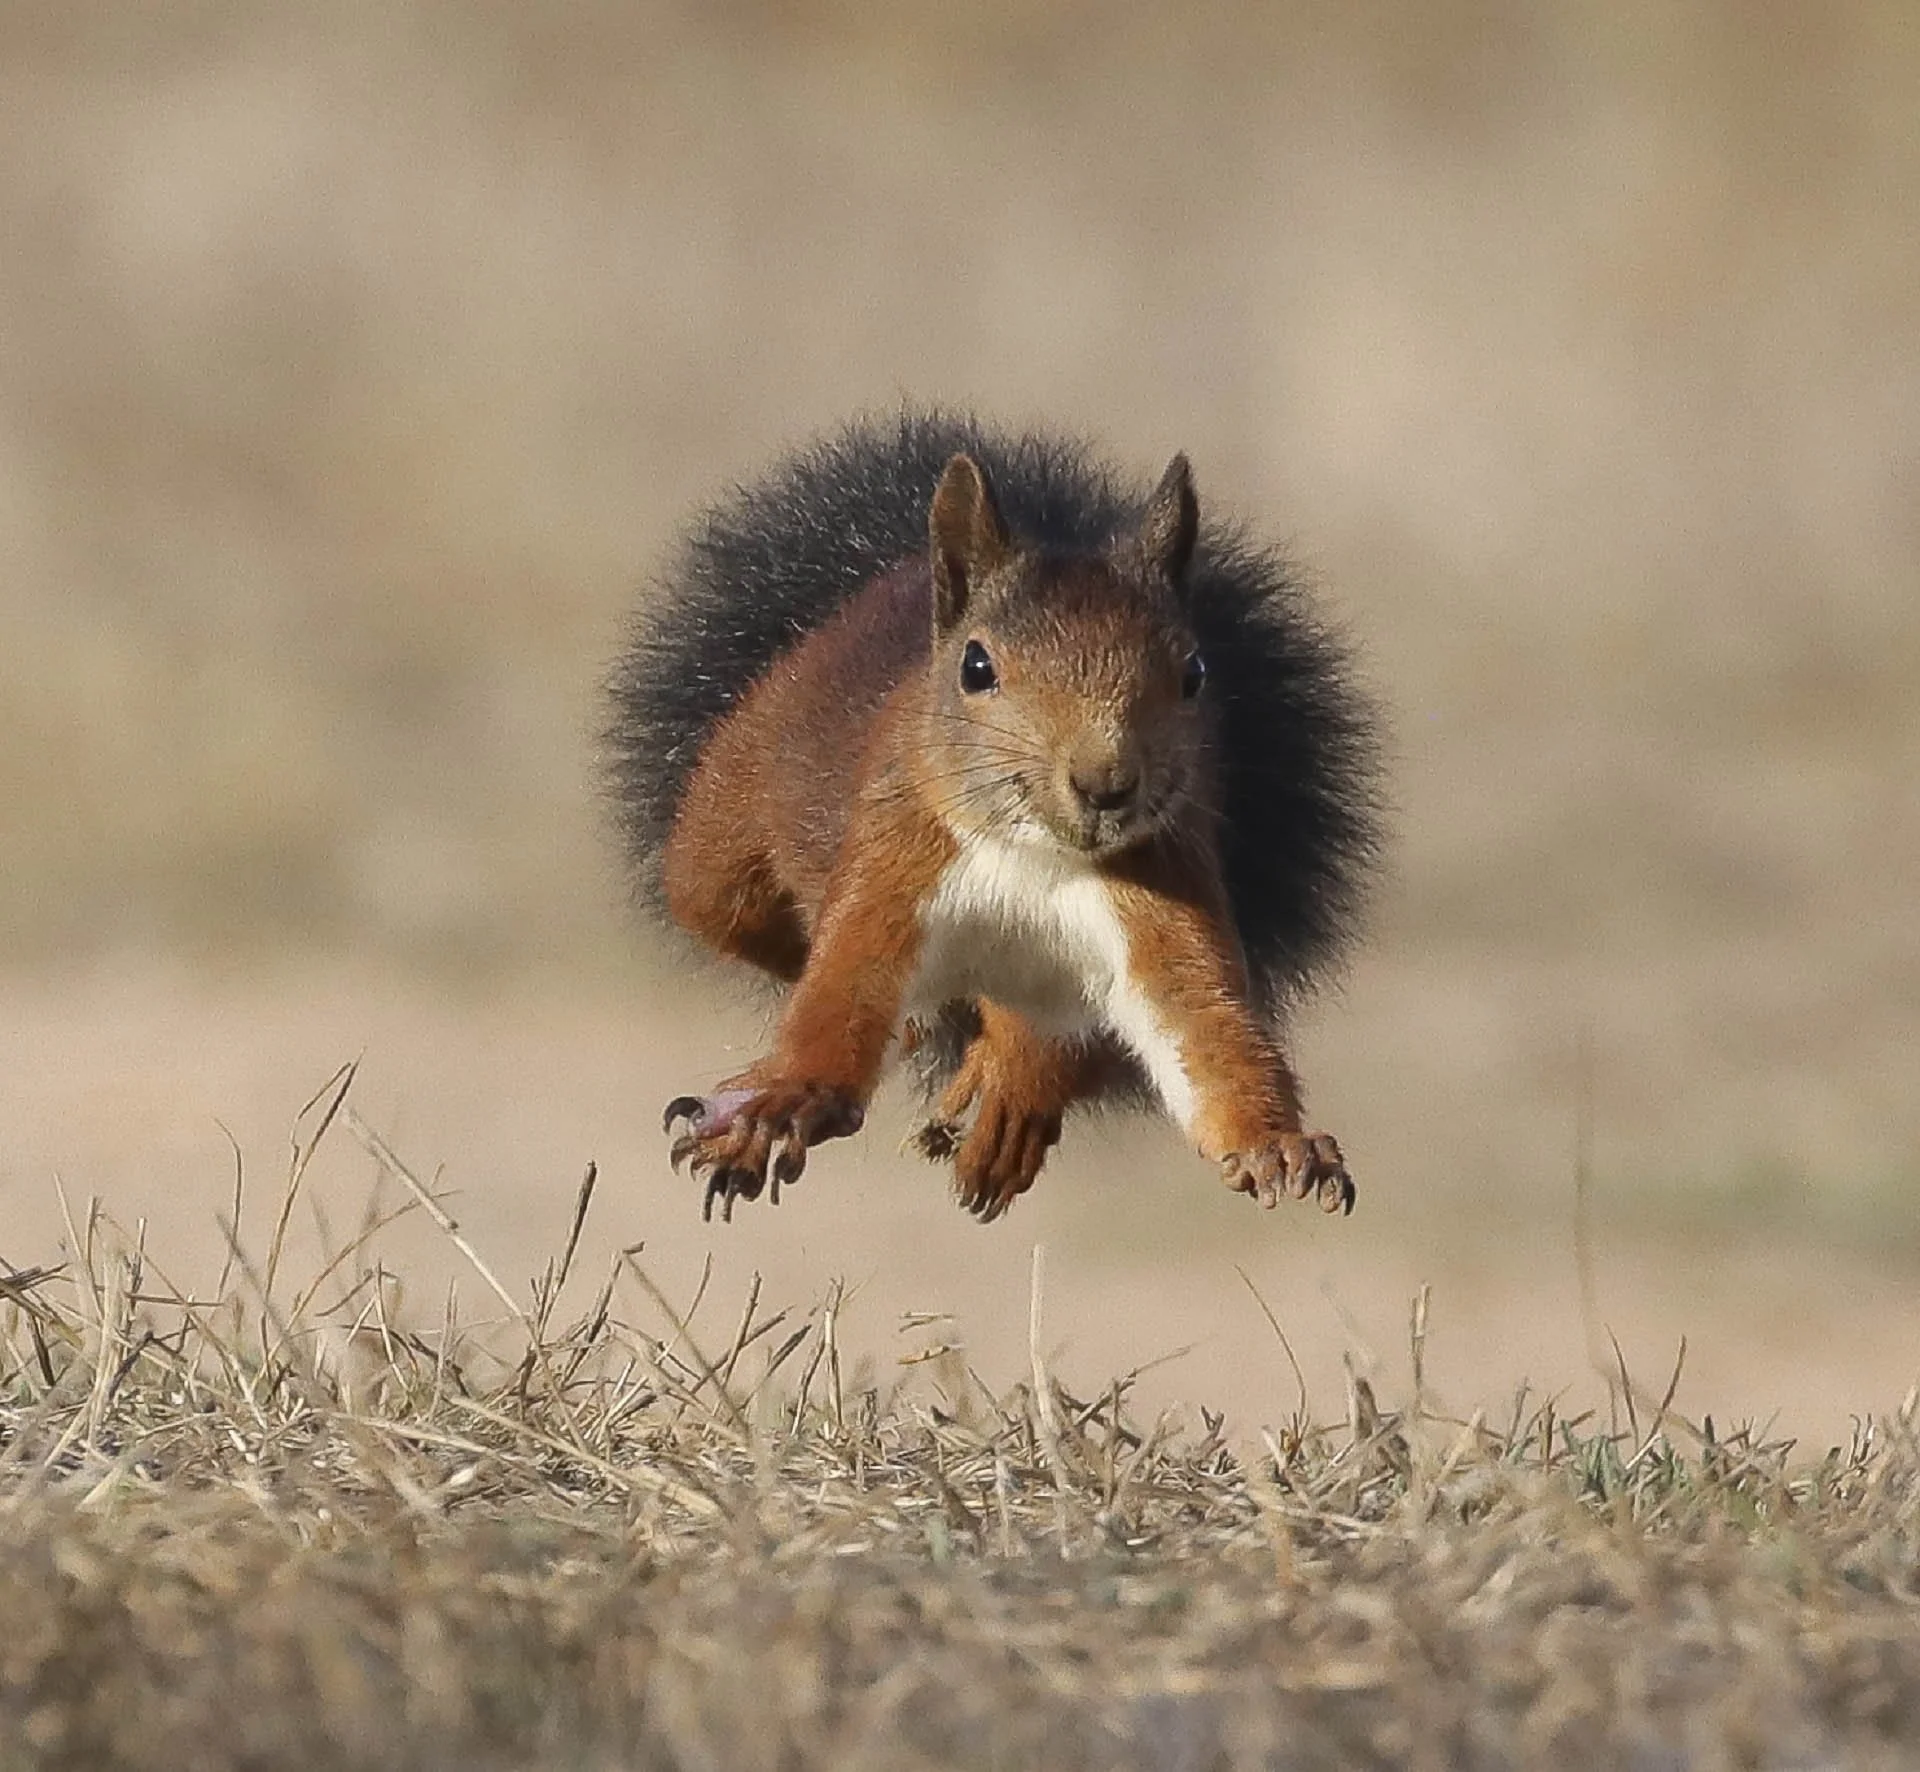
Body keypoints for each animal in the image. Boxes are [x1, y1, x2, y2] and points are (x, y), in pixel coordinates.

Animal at [605, 411, 1384, 1225]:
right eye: (977, 668)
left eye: (1194, 673)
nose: (1105, 783)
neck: (1036, 856)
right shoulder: (894, 866)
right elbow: (841, 999)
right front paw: (783, 1100)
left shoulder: (1163, 895)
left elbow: (1206, 1031)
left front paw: (1276, 1143)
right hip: (721, 842)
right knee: (762, 928)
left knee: (1043, 1038)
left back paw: (1007, 1090)